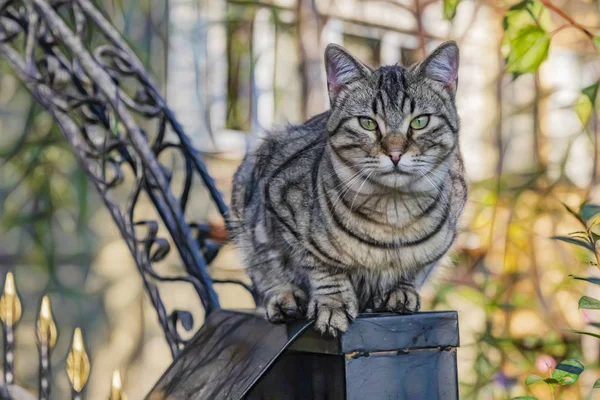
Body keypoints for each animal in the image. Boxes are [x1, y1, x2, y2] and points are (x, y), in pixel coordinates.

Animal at [227, 40, 466, 336]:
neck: (393, 215)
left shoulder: (443, 238)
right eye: (368, 123)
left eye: (420, 121)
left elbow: (414, 266)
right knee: (264, 267)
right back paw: (285, 298)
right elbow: (322, 265)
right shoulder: (281, 200)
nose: (395, 153)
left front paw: (400, 290)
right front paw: (334, 304)